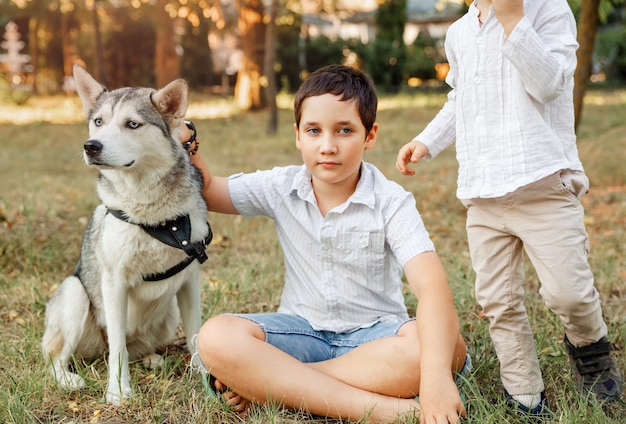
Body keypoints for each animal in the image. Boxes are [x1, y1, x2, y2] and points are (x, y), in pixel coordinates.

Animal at [42, 64, 212, 406]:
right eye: (98, 122)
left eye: (132, 124)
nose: (91, 146)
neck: (156, 219)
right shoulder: (114, 282)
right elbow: (117, 348)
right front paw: (118, 392)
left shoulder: (190, 282)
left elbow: (196, 335)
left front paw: (205, 378)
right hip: (76, 294)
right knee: (61, 358)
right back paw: (69, 380)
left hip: (169, 313)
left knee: (134, 348)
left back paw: (151, 358)